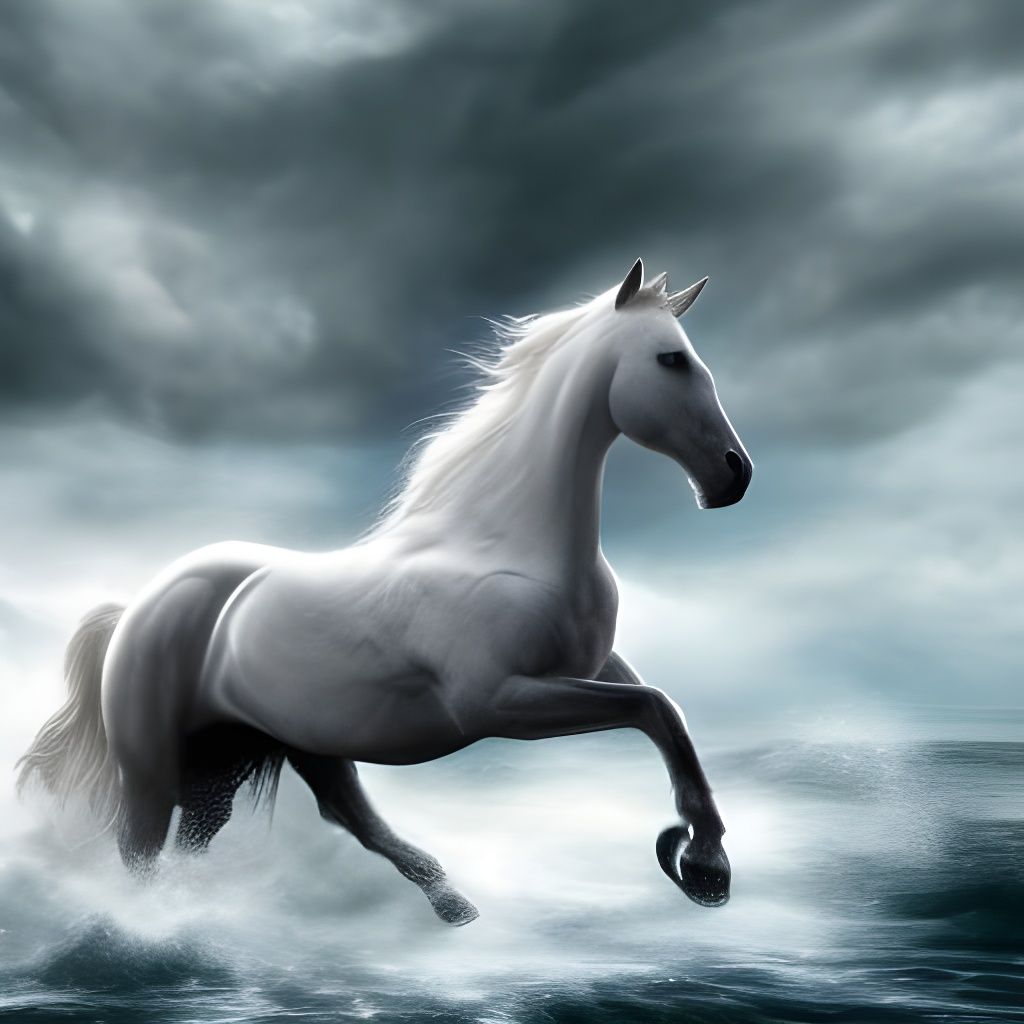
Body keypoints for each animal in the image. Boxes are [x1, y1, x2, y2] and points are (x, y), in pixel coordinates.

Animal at [17, 258, 753, 926]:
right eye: (671, 359)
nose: (734, 476)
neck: (503, 544)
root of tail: (137, 608)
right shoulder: (498, 702)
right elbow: (653, 707)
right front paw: (700, 862)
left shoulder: (592, 666)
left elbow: (667, 714)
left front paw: (704, 862)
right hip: (152, 767)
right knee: (140, 850)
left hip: (266, 753)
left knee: (326, 817)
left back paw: (444, 901)